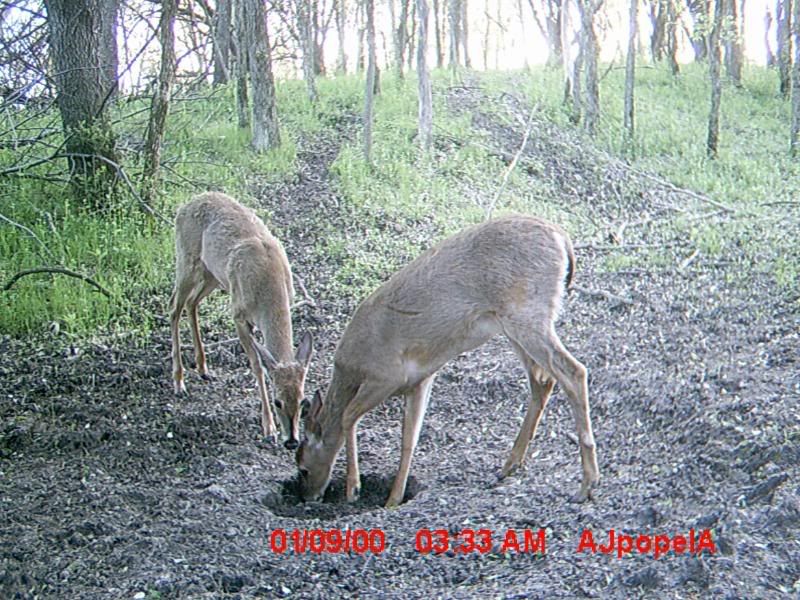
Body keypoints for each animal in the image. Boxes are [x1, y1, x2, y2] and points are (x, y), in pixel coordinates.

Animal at [169, 192, 313, 449]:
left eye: (302, 401)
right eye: (277, 401)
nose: (292, 441)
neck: (269, 290)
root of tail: (184, 206)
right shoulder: (238, 314)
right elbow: (257, 365)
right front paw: (268, 429)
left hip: (212, 274)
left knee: (191, 303)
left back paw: (203, 368)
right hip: (186, 260)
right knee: (173, 306)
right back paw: (179, 382)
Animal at [296, 214, 600, 508]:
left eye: (303, 468)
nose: (308, 496)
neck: (351, 368)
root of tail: (562, 239)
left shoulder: (386, 374)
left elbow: (348, 416)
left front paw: (354, 488)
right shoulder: (419, 380)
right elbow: (409, 439)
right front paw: (393, 499)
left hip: (526, 315)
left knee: (573, 371)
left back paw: (587, 484)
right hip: (514, 325)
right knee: (543, 381)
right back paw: (510, 465)